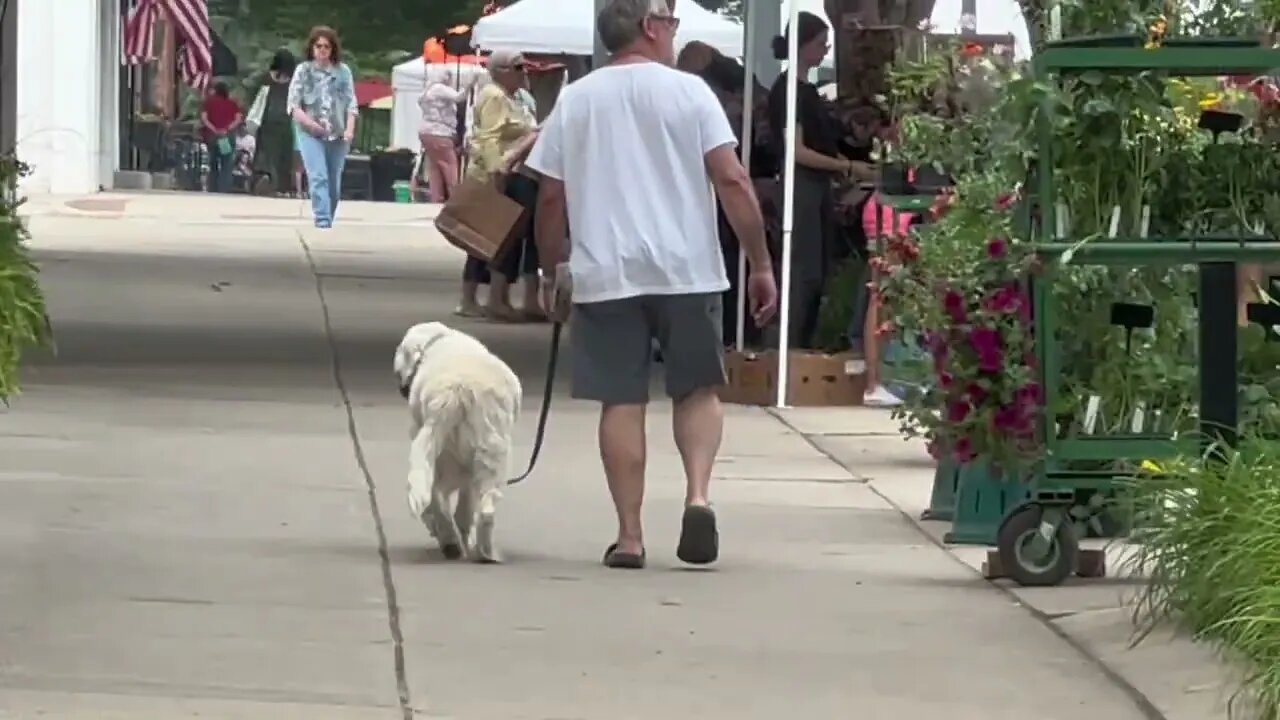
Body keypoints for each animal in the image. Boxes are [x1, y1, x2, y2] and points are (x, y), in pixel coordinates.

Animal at [394, 320, 524, 561]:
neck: (437, 339)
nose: (402, 387)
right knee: (483, 505)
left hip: (442, 451)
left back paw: (451, 542)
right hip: (489, 452)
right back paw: (482, 550)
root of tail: (456, 391)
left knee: (437, 499)